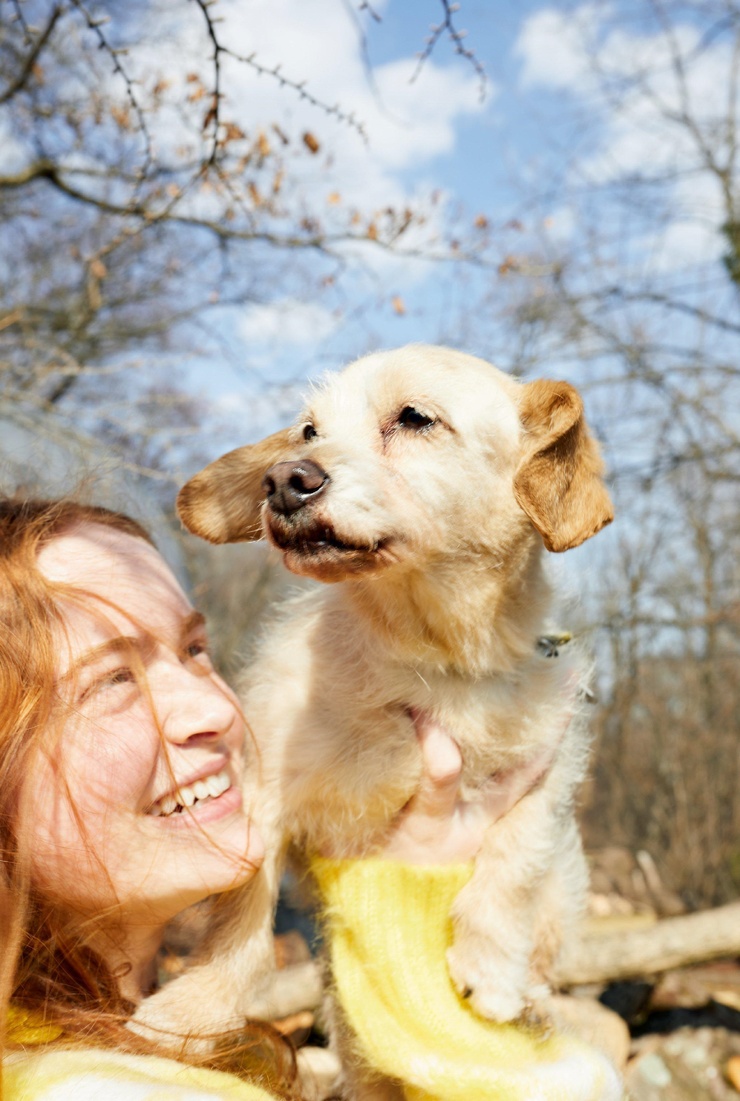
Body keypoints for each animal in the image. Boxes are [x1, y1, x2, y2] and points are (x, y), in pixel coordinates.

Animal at [137, 343, 612, 1092]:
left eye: (414, 417)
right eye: (307, 430)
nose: (283, 480)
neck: (428, 654)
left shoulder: (552, 765)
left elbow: (513, 862)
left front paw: (491, 972)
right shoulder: (265, 790)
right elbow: (243, 923)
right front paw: (193, 1010)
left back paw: (533, 1002)